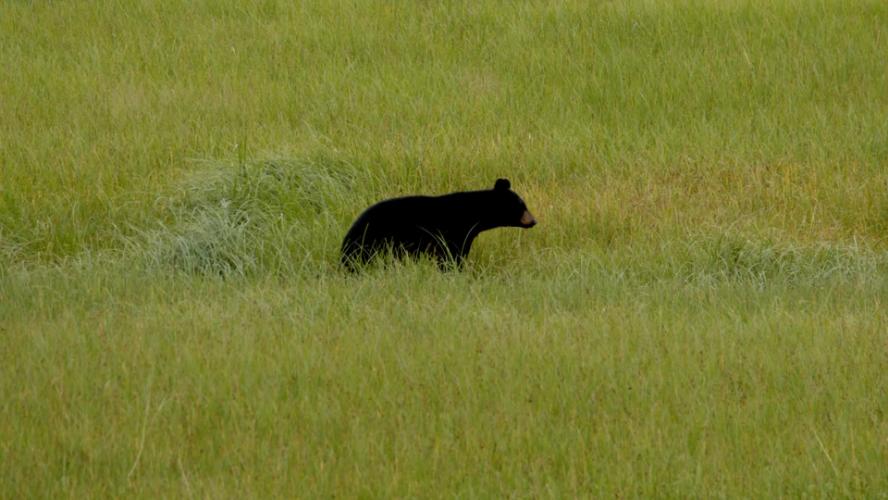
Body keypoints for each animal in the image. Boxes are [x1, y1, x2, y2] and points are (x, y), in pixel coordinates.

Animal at [341, 178, 536, 271]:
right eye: (522, 206)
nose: (534, 221)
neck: (473, 213)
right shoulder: (453, 231)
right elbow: (451, 255)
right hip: (375, 242)